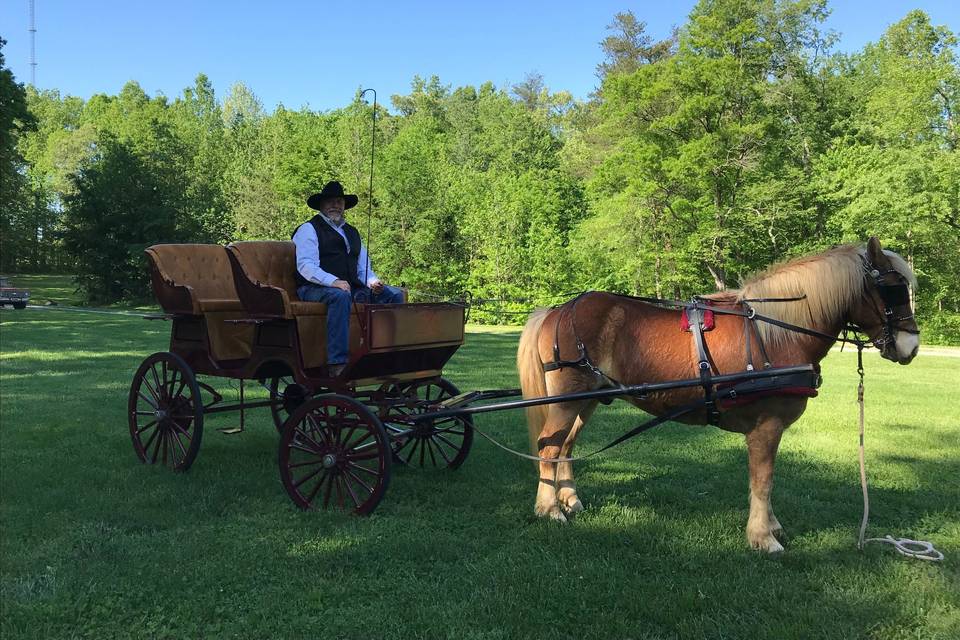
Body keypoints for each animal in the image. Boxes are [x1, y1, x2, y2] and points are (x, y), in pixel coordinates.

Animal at [520, 238, 920, 552]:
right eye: (893, 288)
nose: (911, 346)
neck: (777, 334)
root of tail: (558, 310)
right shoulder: (766, 426)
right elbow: (763, 479)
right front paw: (763, 537)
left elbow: (764, 480)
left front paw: (770, 527)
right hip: (568, 399)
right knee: (549, 446)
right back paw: (549, 509)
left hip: (586, 400)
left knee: (566, 445)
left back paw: (569, 499)